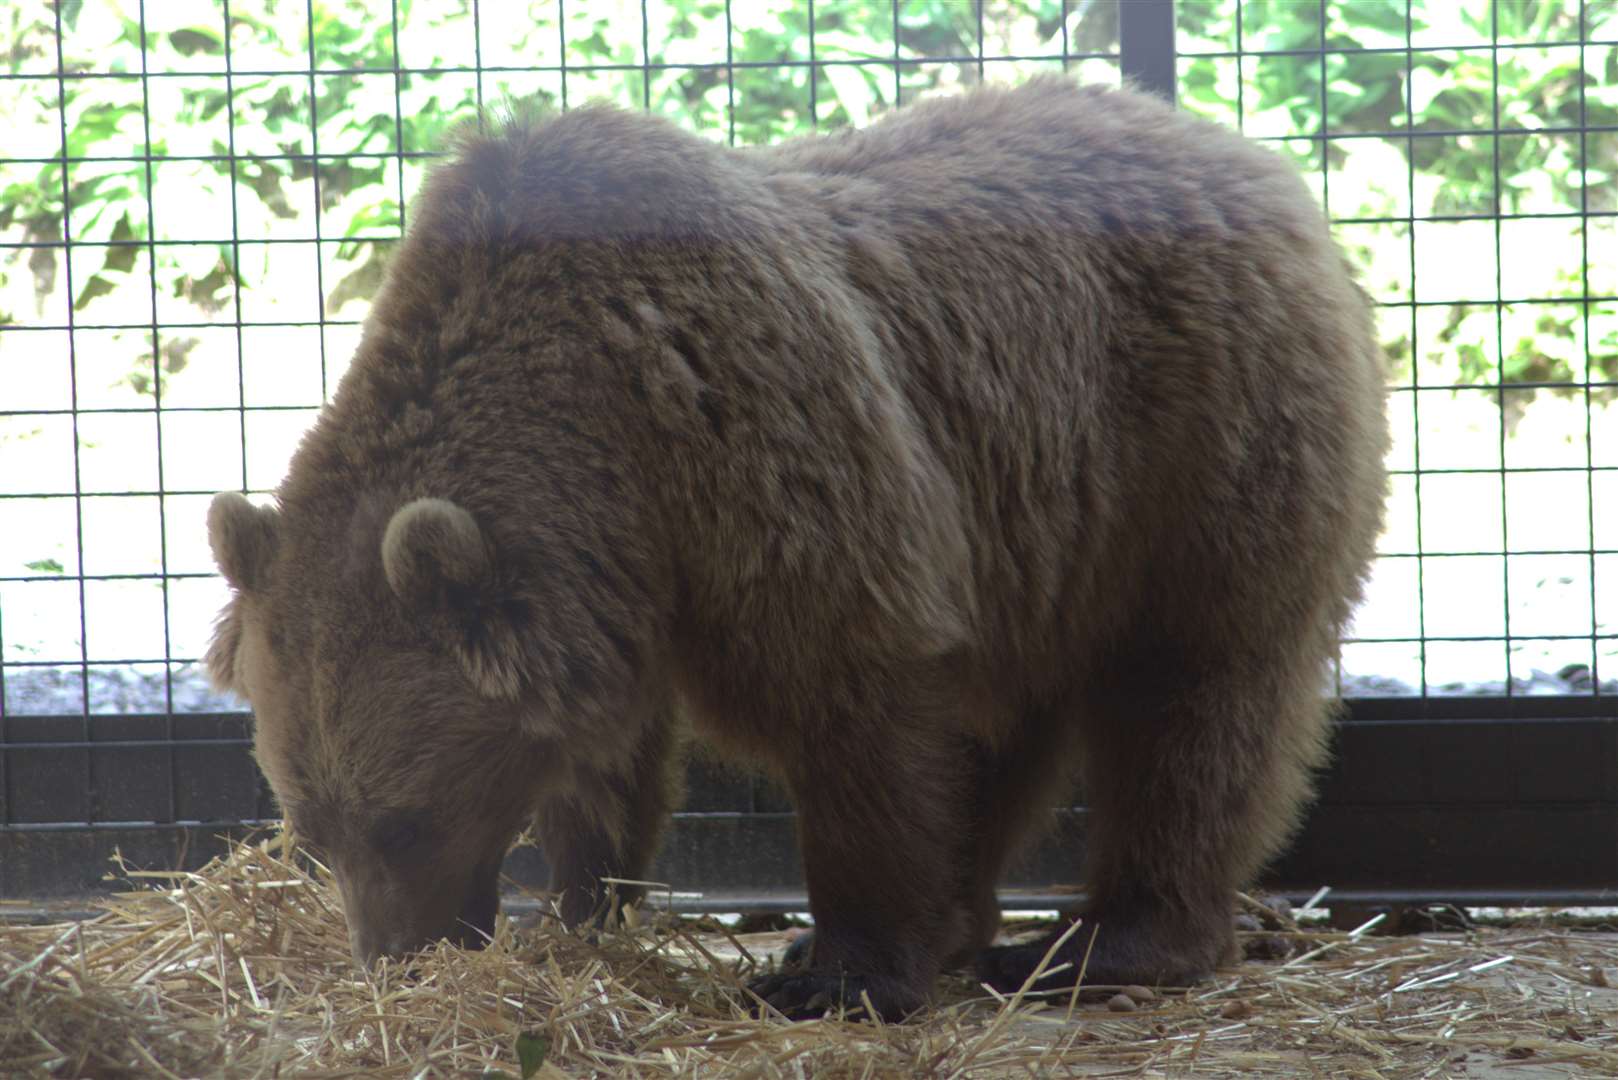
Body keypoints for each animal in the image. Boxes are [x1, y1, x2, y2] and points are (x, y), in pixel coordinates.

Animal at [205, 76, 1391, 1023]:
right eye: (311, 831)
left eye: (407, 823)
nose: (394, 959)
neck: (600, 430)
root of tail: (1251, 157)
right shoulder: (614, 573)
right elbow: (609, 763)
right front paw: (582, 911)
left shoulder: (761, 448)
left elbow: (856, 707)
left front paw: (837, 971)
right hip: (1043, 537)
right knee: (1012, 722)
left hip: (1195, 449)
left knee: (1191, 695)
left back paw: (1102, 943)